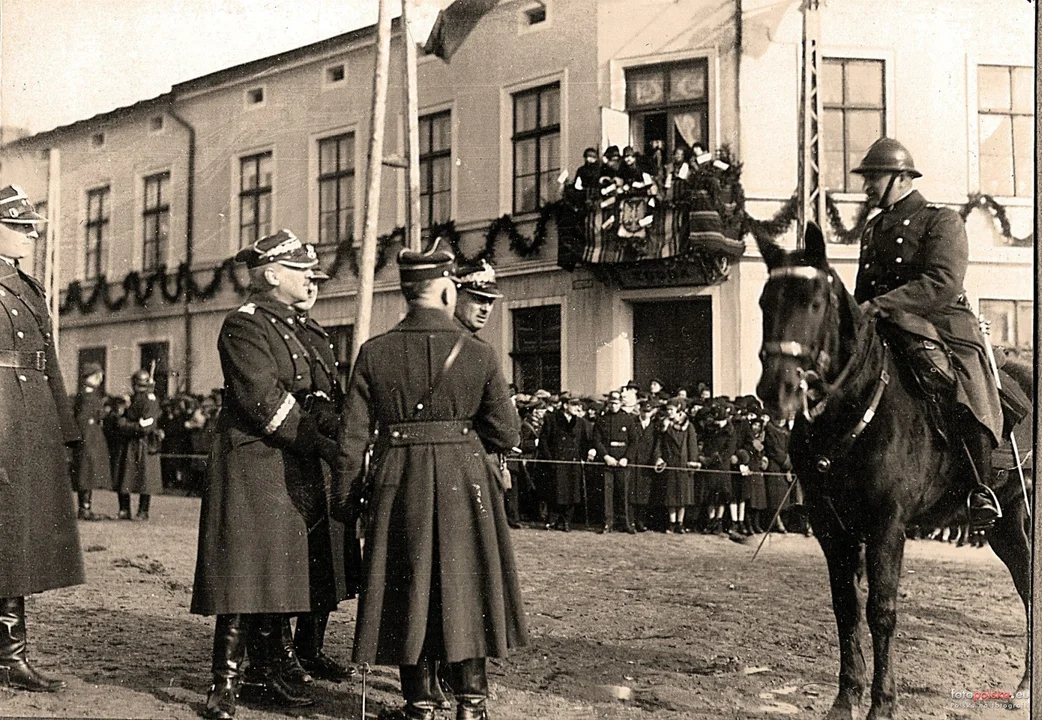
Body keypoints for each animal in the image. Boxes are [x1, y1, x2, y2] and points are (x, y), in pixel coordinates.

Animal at [754, 222, 1029, 716]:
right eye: (766, 301)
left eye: (814, 303)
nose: (775, 388)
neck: (858, 405)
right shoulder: (831, 527)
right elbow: (845, 605)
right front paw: (846, 697)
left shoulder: (887, 525)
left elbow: (880, 610)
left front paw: (882, 702)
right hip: (1007, 522)